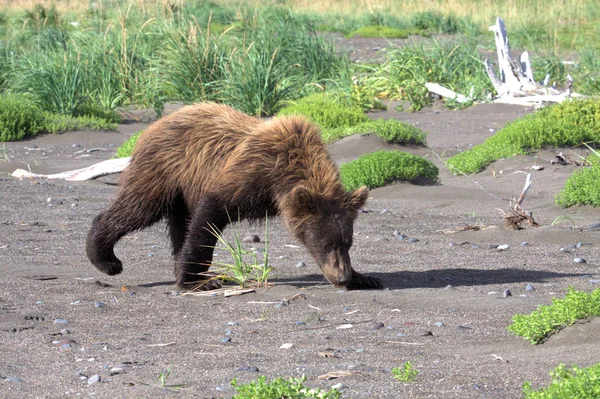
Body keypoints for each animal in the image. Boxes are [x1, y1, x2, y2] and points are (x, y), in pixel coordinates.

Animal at [86, 102, 382, 290]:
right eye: (324, 243)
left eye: (348, 242)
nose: (342, 277)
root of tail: (153, 125)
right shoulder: (252, 174)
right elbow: (211, 212)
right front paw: (193, 280)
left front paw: (364, 277)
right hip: (163, 170)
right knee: (138, 208)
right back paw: (106, 259)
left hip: (183, 188)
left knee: (179, 223)